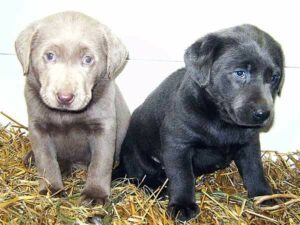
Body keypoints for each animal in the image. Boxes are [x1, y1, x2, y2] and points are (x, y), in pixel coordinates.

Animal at [15, 11, 130, 204]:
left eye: (88, 59)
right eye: (50, 56)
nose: (65, 97)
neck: (66, 115)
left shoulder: (104, 127)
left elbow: (101, 162)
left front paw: (95, 194)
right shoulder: (38, 127)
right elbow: (46, 160)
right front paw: (51, 189)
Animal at [113, 24, 284, 220]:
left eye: (274, 77)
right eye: (240, 73)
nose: (263, 114)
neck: (221, 120)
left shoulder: (249, 144)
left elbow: (255, 170)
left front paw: (264, 196)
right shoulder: (177, 145)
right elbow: (182, 176)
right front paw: (182, 205)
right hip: (138, 156)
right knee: (140, 177)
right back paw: (158, 189)